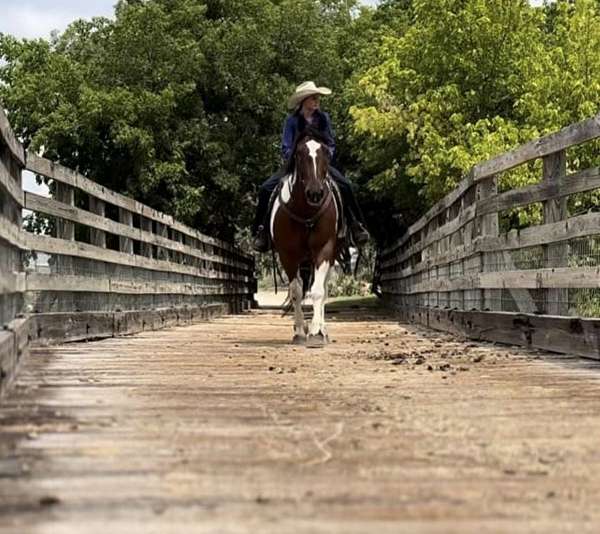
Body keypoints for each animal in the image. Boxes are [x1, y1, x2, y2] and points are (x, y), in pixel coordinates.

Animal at [270, 128, 340, 350]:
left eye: (325, 153)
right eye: (299, 155)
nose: (315, 193)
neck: (306, 212)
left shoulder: (324, 251)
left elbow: (317, 292)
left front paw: (316, 333)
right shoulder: (288, 255)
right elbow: (296, 292)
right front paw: (300, 331)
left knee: (323, 291)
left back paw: (323, 330)